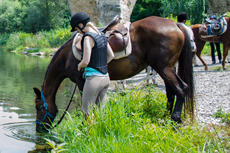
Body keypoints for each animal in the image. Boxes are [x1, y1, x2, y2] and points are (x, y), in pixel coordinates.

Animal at [32, 16, 194, 132]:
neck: (67, 56)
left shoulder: (82, 82)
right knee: (171, 93)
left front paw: (86, 126)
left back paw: (175, 119)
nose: (39, 129)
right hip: (165, 68)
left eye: (38, 107)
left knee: (181, 88)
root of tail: (176, 24)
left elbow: (89, 105)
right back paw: (166, 118)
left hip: (164, 68)